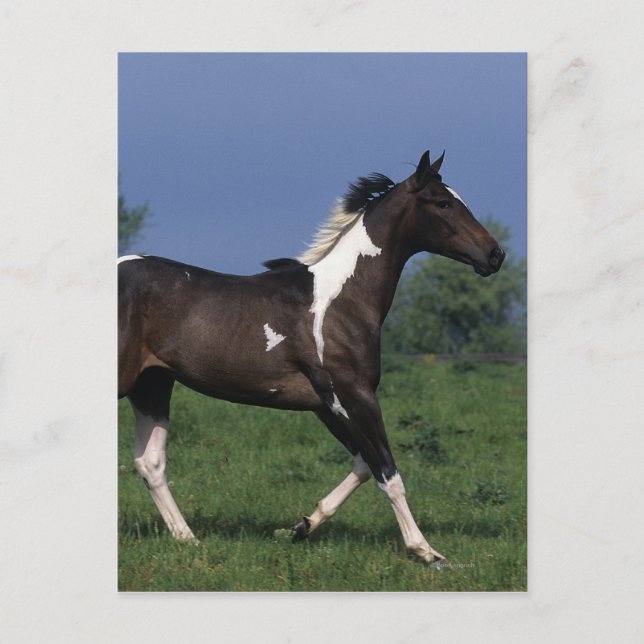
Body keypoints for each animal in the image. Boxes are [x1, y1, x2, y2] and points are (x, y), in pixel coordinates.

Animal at [118, 150, 505, 566]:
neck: (342, 300)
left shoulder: (326, 405)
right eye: (442, 202)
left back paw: (188, 538)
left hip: (153, 385)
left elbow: (364, 465)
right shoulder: (354, 396)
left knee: (150, 462)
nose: (495, 255)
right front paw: (426, 551)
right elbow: (388, 472)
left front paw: (302, 526)